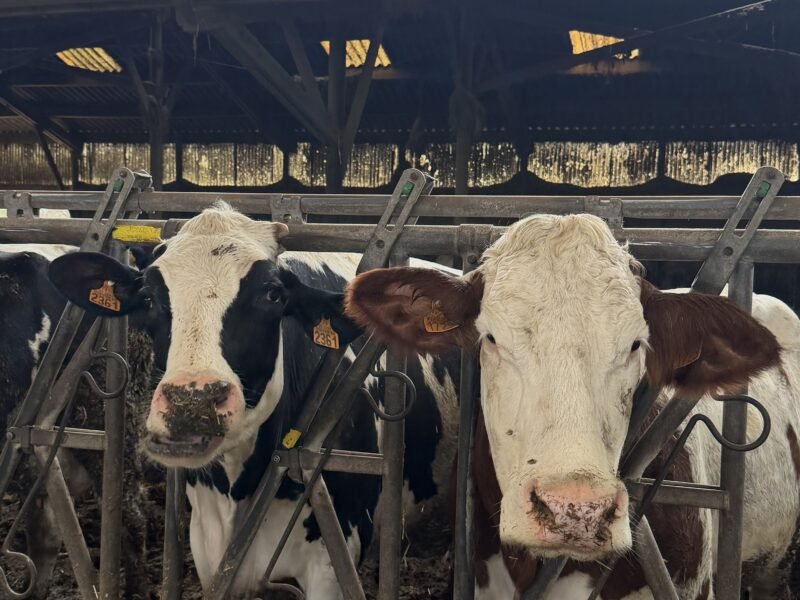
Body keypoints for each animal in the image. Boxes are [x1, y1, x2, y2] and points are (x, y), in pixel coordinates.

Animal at [47, 202, 460, 598]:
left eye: (273, 294)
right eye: (147, 298)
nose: (191, 404)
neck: (238, 488)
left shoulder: (331, 562)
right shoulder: (210, 555)